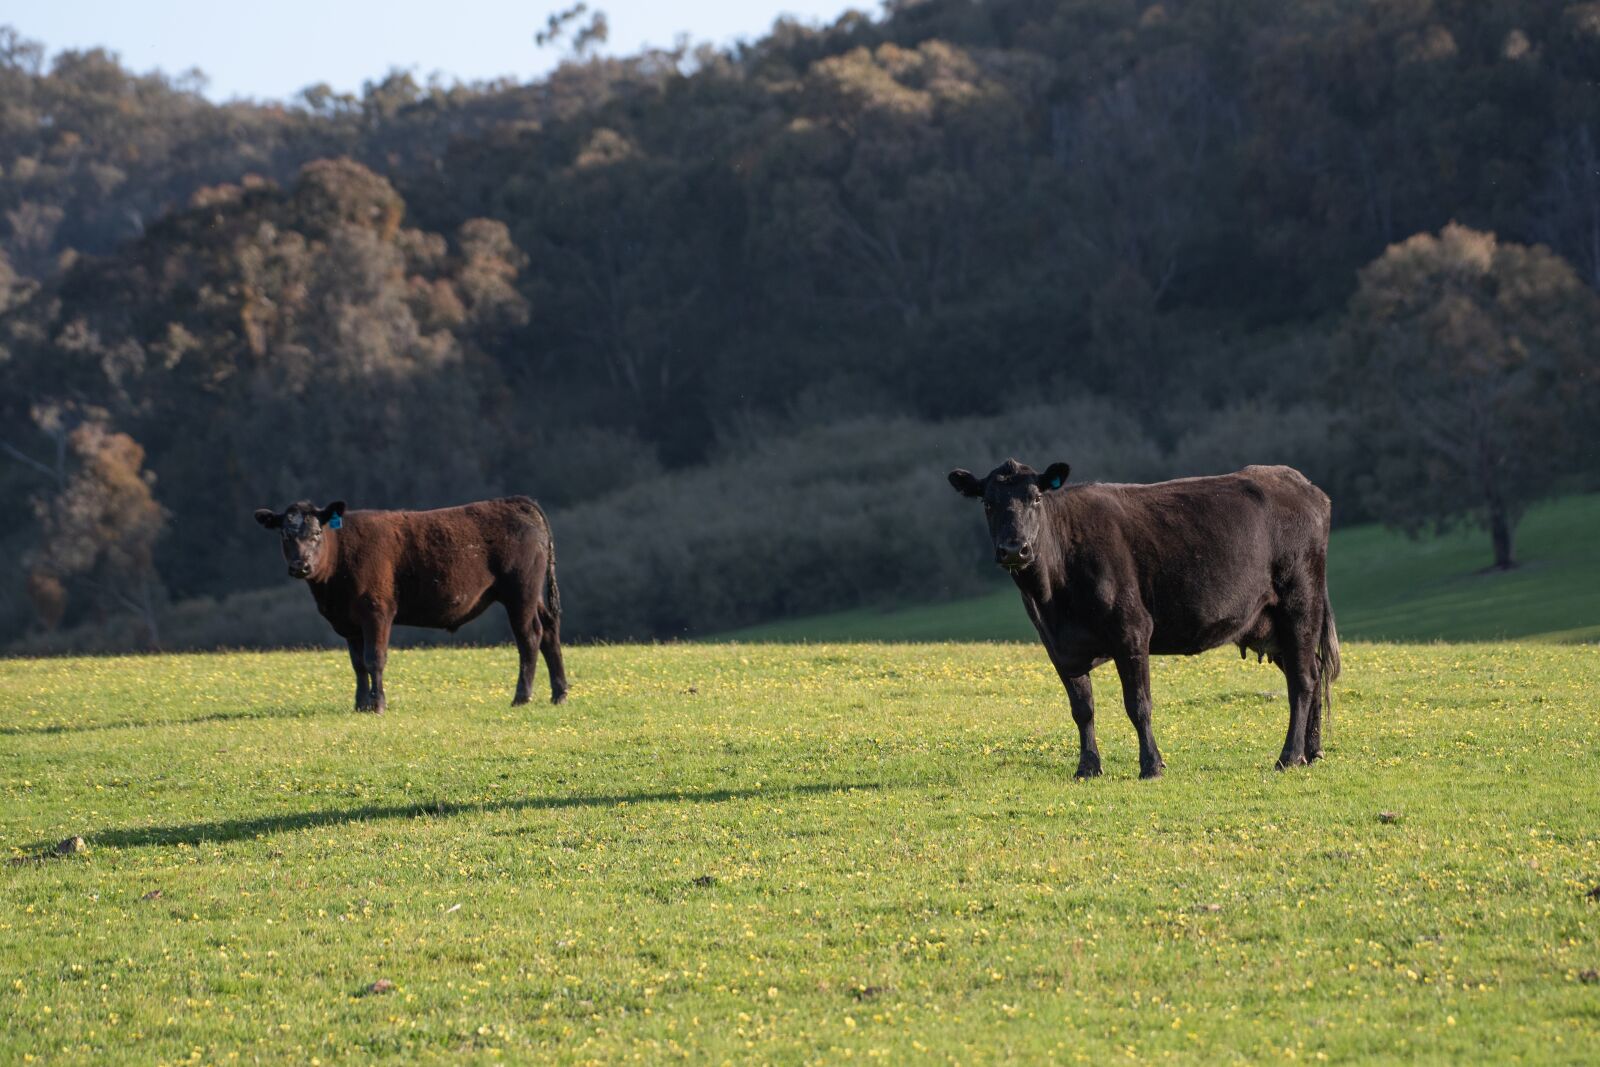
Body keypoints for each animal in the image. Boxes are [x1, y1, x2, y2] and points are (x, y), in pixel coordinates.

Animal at [253, 496, 568, 713]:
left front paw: (378, 705)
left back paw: (522, 697)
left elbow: (374, 658)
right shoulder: (350, 622)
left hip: (520, 593)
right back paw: (559, 692)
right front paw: (360, 705)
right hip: (533, 595)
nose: (300, 566)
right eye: (285, 535)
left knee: (530, 637)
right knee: (550, 629)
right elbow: (357, 664)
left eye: (317, 534)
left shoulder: (377, 610)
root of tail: (517, 502)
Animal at [948, 460, 1339, 777]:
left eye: (1036, 498)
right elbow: (1082, 708)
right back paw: (1312, 752)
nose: (1015, 549)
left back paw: (1289, 757)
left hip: (1299, 604)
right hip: (1272, 625)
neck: (1052, 597)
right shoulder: (1058, 647)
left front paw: (1151, 765)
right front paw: (1087, 767)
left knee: (1303, 680)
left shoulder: (1132, 630)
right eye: (988, 503)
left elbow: (1138, 704)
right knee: (1314, 671)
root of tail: (1303, 484)